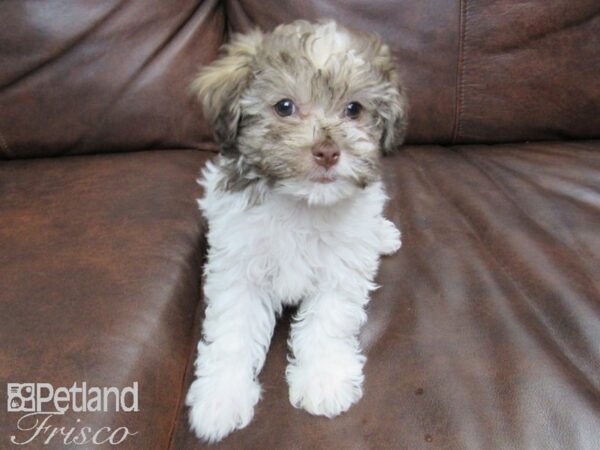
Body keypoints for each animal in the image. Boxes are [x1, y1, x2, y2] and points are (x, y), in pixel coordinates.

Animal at [186, 19, 408, 442]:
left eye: (354, 109)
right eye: (284, 107)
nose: (328, 152)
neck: (302, 203)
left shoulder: (340, 270)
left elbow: (328, 321)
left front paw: (324, 380)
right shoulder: (238, 268)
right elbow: (232, 330)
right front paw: (220, 398)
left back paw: (383, 235)